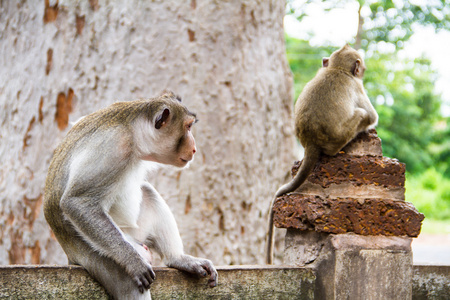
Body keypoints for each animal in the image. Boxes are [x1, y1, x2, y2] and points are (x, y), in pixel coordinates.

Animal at [43, 91, 218, 300]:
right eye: (188, 127)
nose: (194, 148)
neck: (133, 132)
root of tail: (71, 256)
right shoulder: (114, 147)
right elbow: (77, 202)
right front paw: (131, 260)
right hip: (97, 256)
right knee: (130, 283)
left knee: (148, 192)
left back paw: (177, 259)